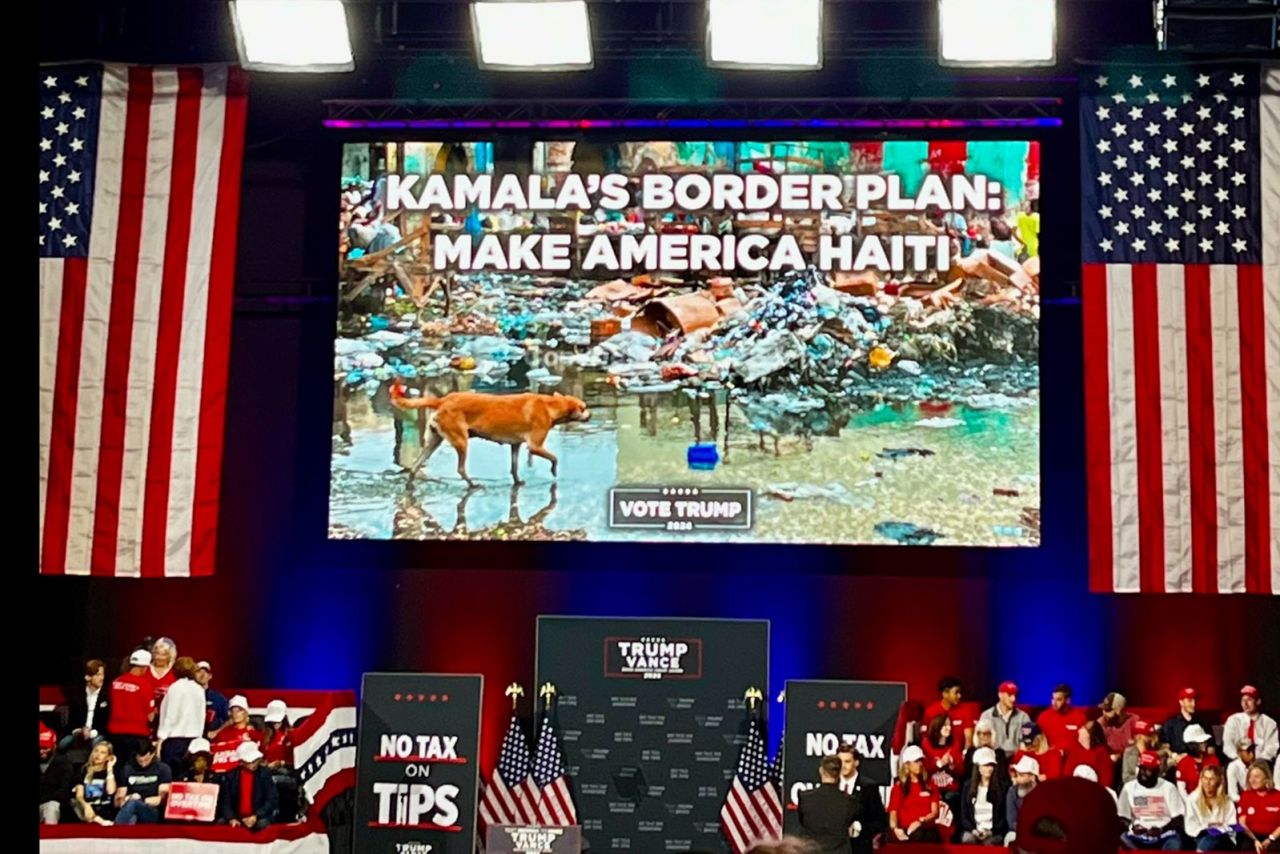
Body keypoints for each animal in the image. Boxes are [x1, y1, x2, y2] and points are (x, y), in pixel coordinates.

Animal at [389, 381, 588, 483]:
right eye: (584, 407)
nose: (590, 415)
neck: (551, 406)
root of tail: (442, 400)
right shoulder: (535, 446)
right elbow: (554, 458)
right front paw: (554, 471)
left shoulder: (515, 445)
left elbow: (514, 467)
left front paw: (518, 482)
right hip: (461, 441)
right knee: (460, 469)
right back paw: (473, 485)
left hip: (433, 441)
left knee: (414, 467)